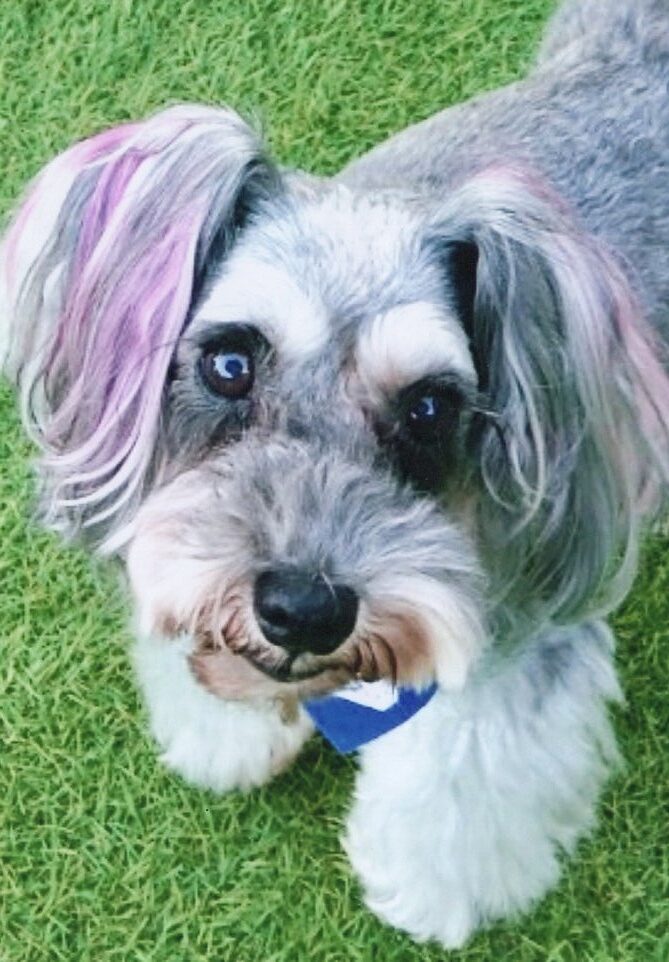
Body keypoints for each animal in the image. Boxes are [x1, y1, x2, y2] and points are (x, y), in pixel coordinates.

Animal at [2, 0, 669, 948]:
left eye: (429, 407)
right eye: (230, 363)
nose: (302, 609)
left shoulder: (513, 623)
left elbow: (462, 766)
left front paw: (430, 884)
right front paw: (230, 736)